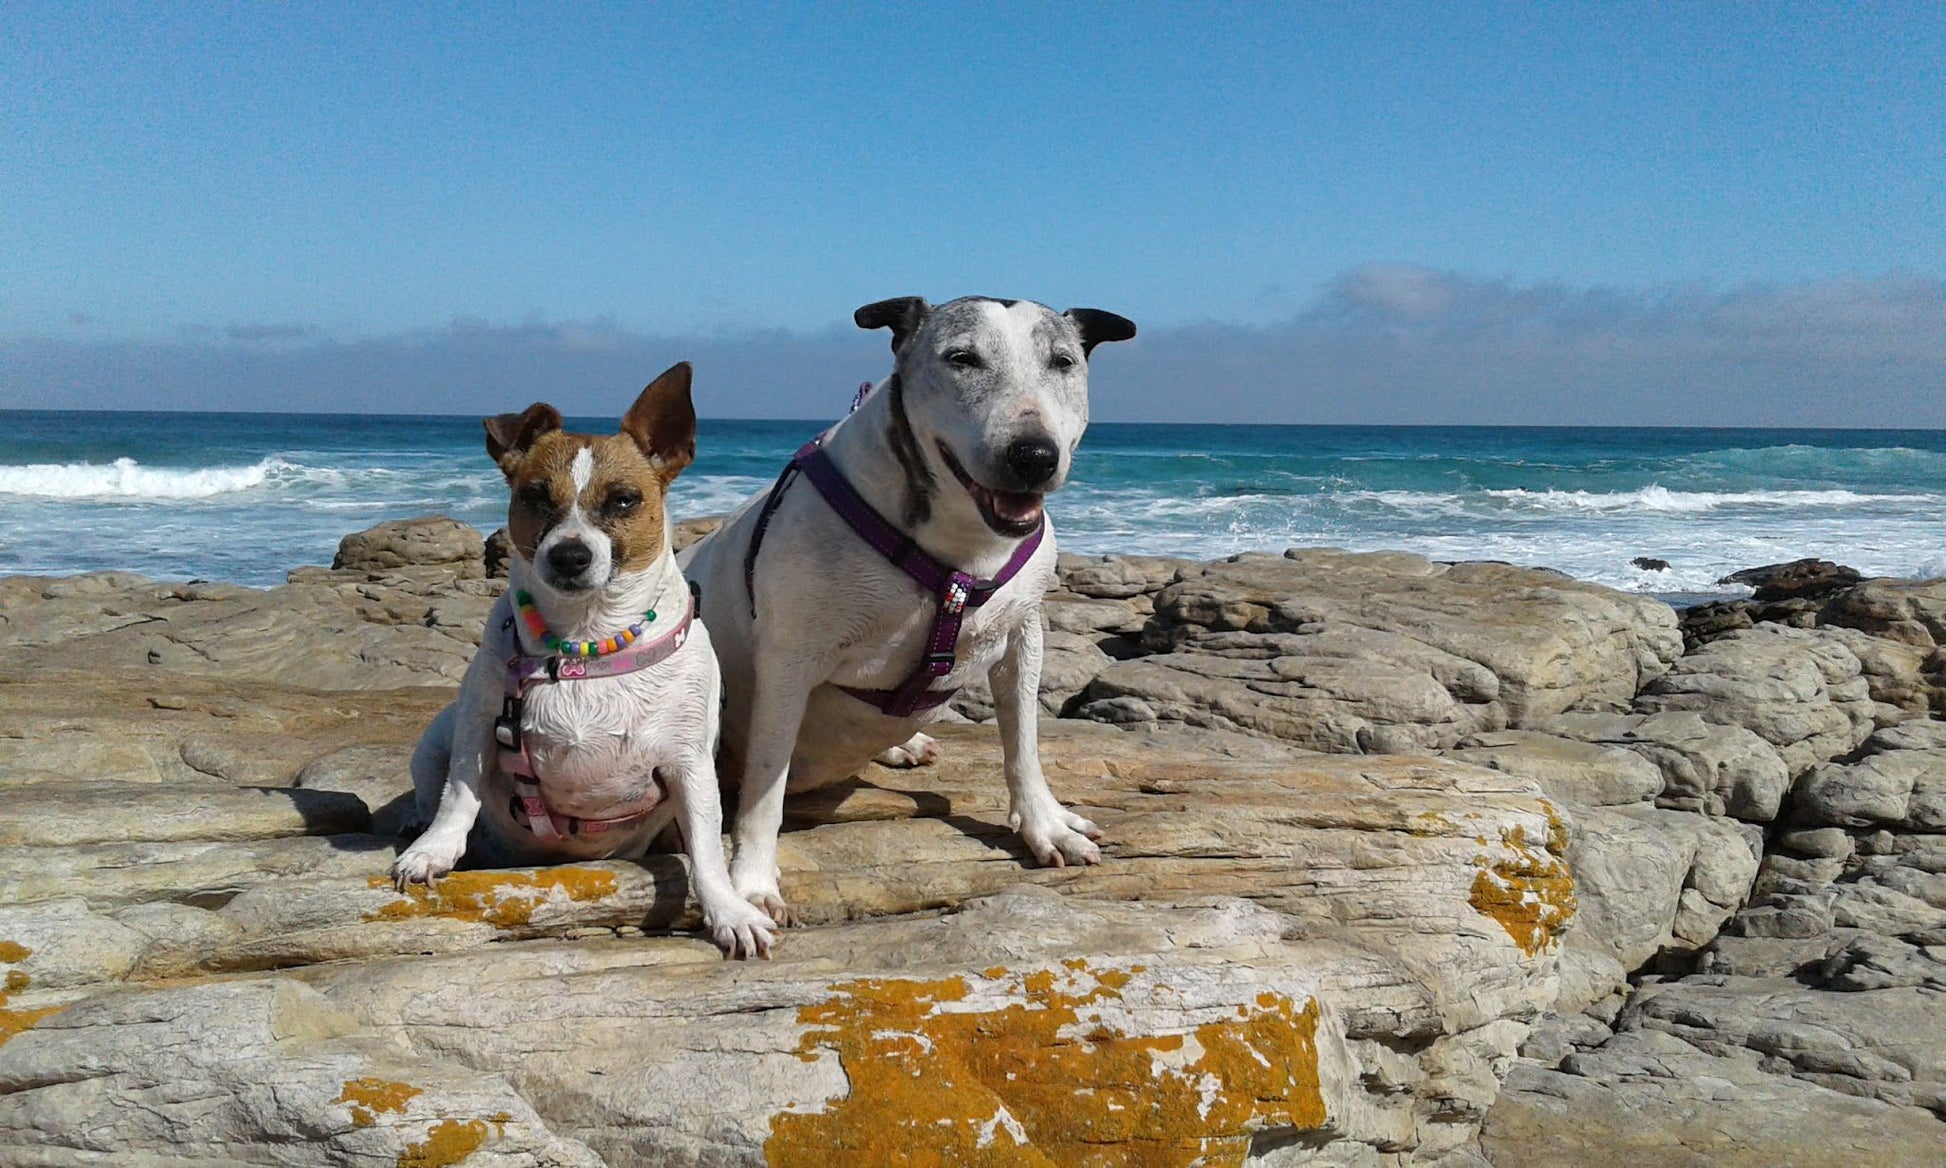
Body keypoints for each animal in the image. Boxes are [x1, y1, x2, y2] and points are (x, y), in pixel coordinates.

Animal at [391, 362, 778, 957]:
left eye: (623, 500)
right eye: (534, 496)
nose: (569, 555)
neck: (582, 644)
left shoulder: (690, 765)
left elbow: (707, 852)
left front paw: (729, 912)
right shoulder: (478, 728)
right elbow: (459, 794)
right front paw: (434, 850)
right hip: (434, 740)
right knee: (433, 786)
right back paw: (420, 823)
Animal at [688, 295, 1136, 926]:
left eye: (1063, 362)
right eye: (961, 358)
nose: (1033, 456)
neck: (959, 550)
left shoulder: (1023, 634)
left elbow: (1023, 741)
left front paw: (1045, 825)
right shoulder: (789, 663)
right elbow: (764, 790)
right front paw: (751, 881)